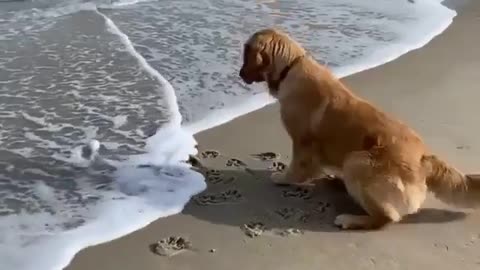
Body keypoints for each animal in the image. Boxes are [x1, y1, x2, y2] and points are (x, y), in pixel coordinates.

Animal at [238, 28, 478, 230]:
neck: (290, 68)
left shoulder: (302, 141)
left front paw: (284, 178)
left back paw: (351, 219)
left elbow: (298, 166)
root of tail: (424, 158)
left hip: (357, 161)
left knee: (386, 218)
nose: (239, 74)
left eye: (245, 54)